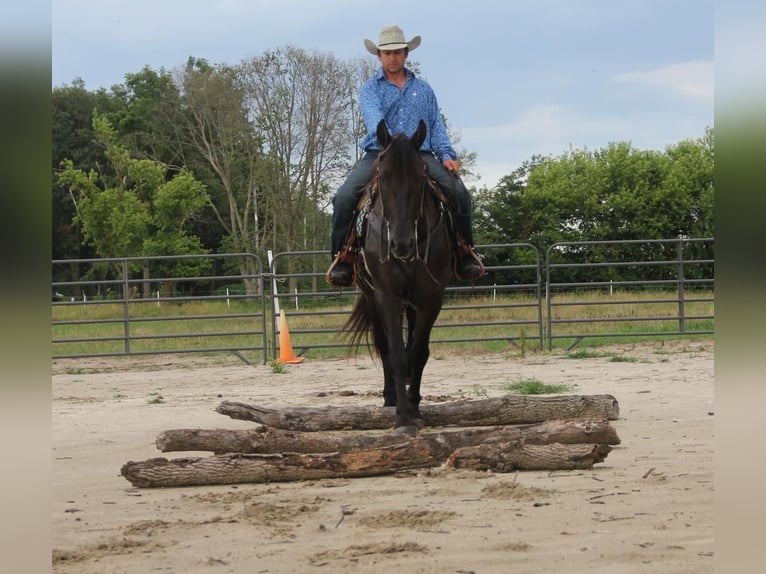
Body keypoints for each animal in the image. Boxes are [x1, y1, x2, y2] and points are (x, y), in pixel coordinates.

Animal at [344, 120, 456, 436]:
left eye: (421, 176)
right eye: (383, 176)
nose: (401, 244)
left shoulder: (431, 299)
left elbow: (418, 353)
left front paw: (415, 409)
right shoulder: (387, 296)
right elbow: (395, 353)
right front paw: (403, 419)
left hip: (412, 305)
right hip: (372, 300)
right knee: (383, 346)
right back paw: (390, 398)